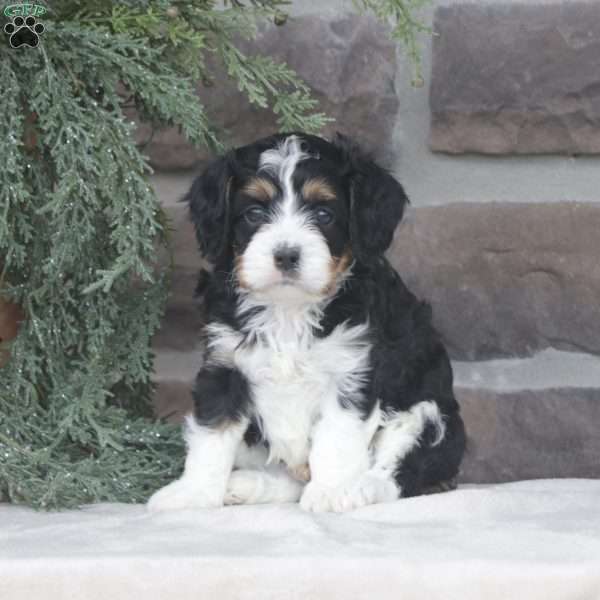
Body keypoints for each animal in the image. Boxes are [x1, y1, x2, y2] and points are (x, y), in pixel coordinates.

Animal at [148, 134, 466, 512]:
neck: (289, 309)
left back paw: (361, 487)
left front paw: (331, 491)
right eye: (254, 213)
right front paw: (193, 494)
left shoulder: (352, 373)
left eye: (324, 214)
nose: (286, 255)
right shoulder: (225, 367)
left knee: (399, 471)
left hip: (428, 413)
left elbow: (336, 438)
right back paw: (246, 485)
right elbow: (212, 434)